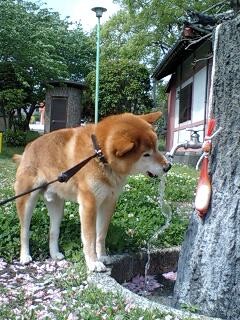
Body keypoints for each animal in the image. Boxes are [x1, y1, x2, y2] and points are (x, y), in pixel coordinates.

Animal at [13, 111, 171, 272]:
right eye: (146, 154)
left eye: (156, 147)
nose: (168, 166)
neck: (99, 155)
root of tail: (28, 147)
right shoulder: (89, 204)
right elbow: (90, 237)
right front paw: (93, 262)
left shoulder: (108, 202)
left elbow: (101, 235)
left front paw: (102, 256)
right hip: (27, 200)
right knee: (24, 231)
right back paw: (25, 256)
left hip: (57, 205)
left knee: (53, 231)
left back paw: (55, 254)